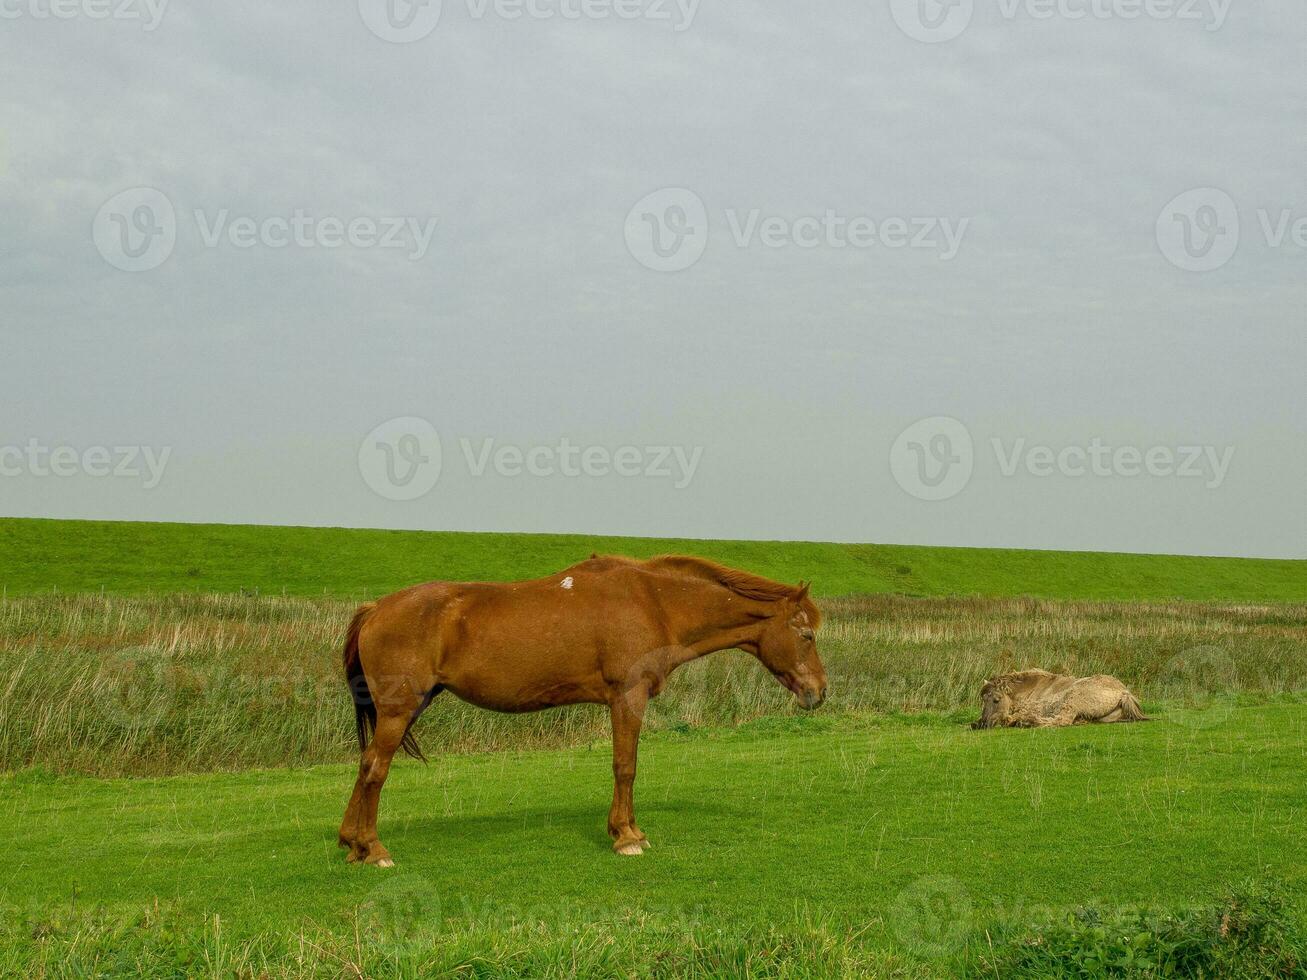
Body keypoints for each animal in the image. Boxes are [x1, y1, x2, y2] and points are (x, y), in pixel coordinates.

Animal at [337, 556, 826, 862]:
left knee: (365, 764)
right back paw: (374, 850)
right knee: (376, 768)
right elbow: (625, 766)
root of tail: (376, 608)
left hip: (408, 707)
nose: (819, 692)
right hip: (399, 710)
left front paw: (632, 830)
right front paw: (626, 836)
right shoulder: (627, 696)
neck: (653, 602)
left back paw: (351, 842)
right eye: (806, 635)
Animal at [972, 669, 1144, 731]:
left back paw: (1028, 722)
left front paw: (1016, 720)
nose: (981, 724)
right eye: (983, 700)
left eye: (996, 700)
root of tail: (1123, 692)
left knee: (1062, 720)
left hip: (1073, 699)